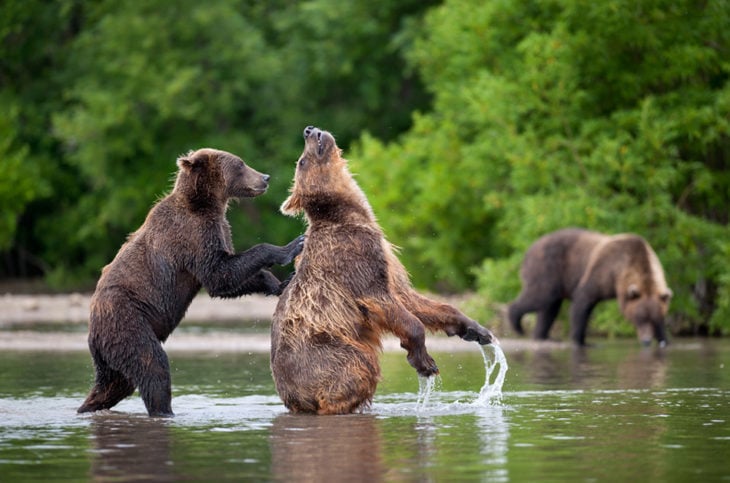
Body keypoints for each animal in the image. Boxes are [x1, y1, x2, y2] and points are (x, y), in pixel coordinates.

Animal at [74, 149, 302, 418]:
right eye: (240, 164)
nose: (265, 178)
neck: (206, 204)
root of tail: (92, 329)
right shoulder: (191, 236)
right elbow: (220, 274)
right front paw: (291, 246)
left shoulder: (218, 230)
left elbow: (227, 280)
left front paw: (281, 283)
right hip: (127, 320)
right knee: (152, 364)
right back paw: (165, 412)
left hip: (112, 350)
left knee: (115, 382)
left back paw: (88, 407)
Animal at [270, 125, 498, 416]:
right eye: (301, 161)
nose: (309, 130)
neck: (352, 214)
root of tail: (293, 398)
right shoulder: (355, 259)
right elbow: (388, 305)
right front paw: (425, 362)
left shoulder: (388, 262)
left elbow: (411, 298)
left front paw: (475, 329)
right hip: (326, 352)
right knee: (359, 365)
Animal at [506, 228, 672, 346]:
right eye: (639, 318)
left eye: (653, 319)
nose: (647, 340)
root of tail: (529, 249)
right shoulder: (603, 271)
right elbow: (583, 301)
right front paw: (581, 341)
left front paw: (664, 339)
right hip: (547, 268)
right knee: (541, 295)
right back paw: (517, 324)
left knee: (550, 307)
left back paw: (543, 336)